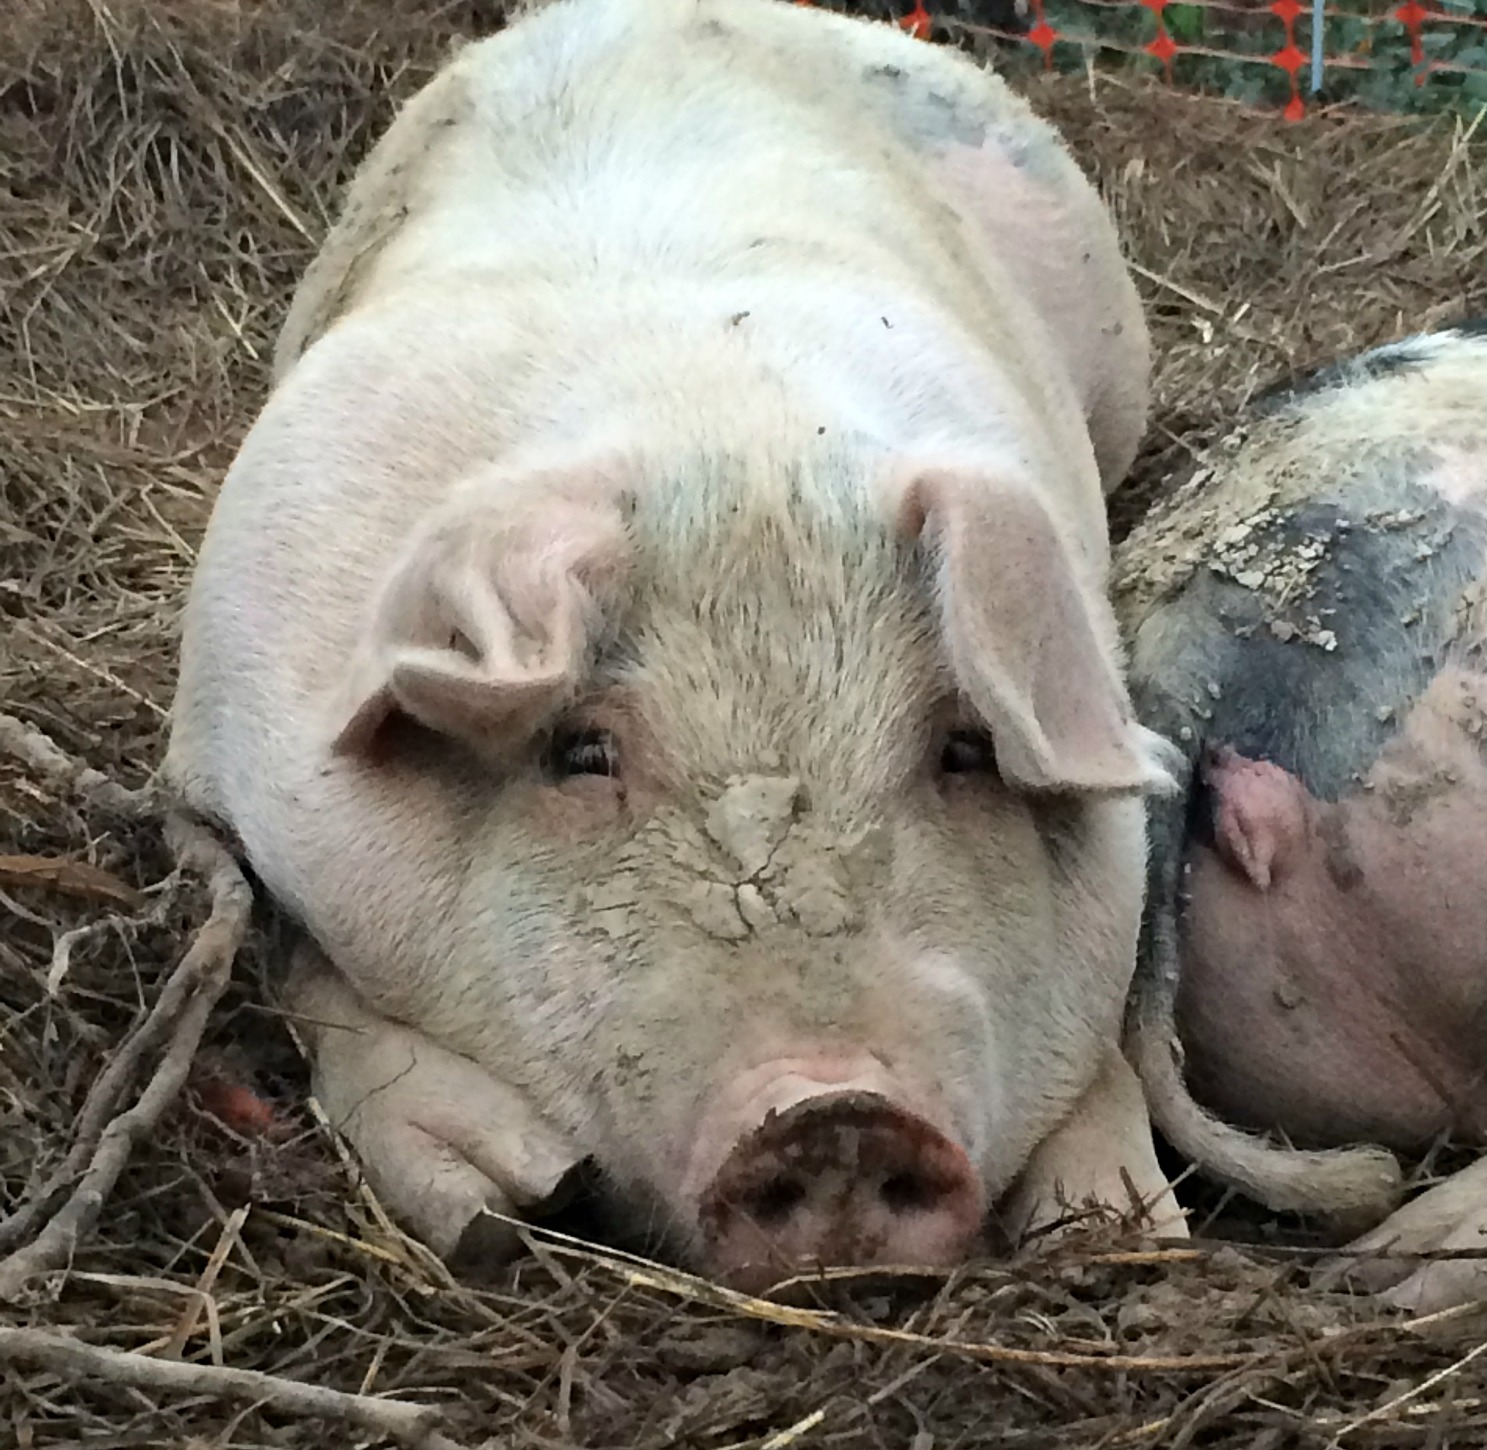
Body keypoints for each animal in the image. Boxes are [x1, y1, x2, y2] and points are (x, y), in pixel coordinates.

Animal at [166, 0, 1182, 1292]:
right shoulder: (220, 787)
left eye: (960, 751)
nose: (836, 1111)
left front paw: (1134, 1235)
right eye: (583, 752)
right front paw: (499, 1208)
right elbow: (297, 964)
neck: (725, 437)